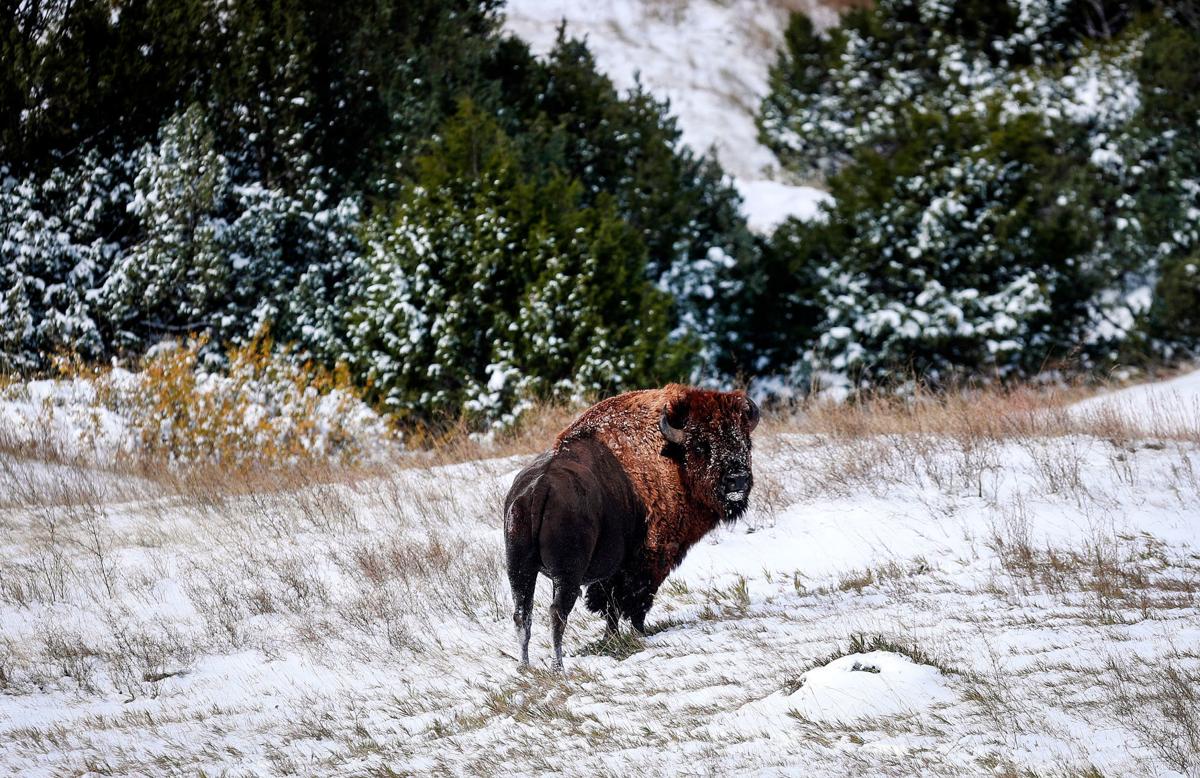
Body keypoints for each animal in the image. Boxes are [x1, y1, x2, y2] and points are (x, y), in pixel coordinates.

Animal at [503, 384, 759, 669]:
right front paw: (638, 633)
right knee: (556, 612)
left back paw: (524, 666)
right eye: (701, 446)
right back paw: (558, 667)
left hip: (520, 569)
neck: (672, 455)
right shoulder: (648, 562)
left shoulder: (613, 572)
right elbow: (633, 602)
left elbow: (611, 606)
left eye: (746, 442)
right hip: (566, 574)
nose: (737, 480)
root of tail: (539, 488)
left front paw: (611, 638)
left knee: (522, 614)